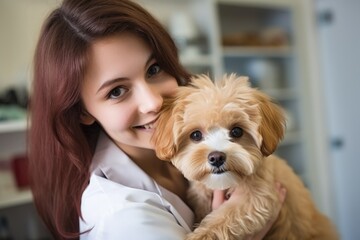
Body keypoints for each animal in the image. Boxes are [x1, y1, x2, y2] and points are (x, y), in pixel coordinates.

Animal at [152, 74, 338, 239]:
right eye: (196, 135)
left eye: (236, 131)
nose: (216, 157)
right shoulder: (200, 194)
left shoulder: (257, 198)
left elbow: (225, 217)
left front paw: (201, 235)